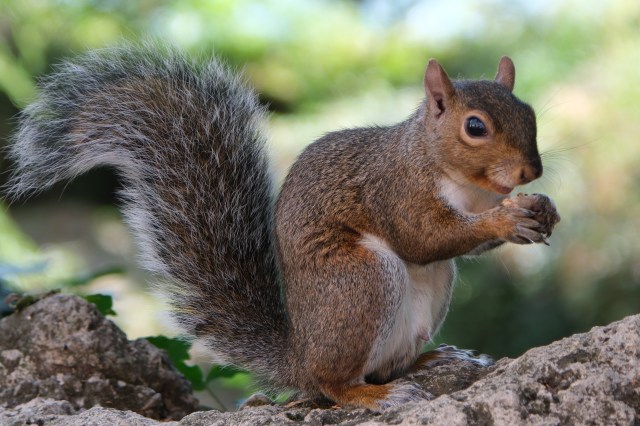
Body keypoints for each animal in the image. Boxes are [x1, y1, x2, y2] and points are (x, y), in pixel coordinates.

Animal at [5, 43, 559, 410]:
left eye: (531, 113)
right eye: (475, 127)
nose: (531, 171)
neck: (459, 179)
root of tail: (299, 357)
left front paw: (540, 211)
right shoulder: (394, 190)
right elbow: (423, 238)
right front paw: (507, 218)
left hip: (428, 292)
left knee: (386, 362)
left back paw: (432, 361)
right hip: (360, 281)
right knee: (333, 384)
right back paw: (370, 394)